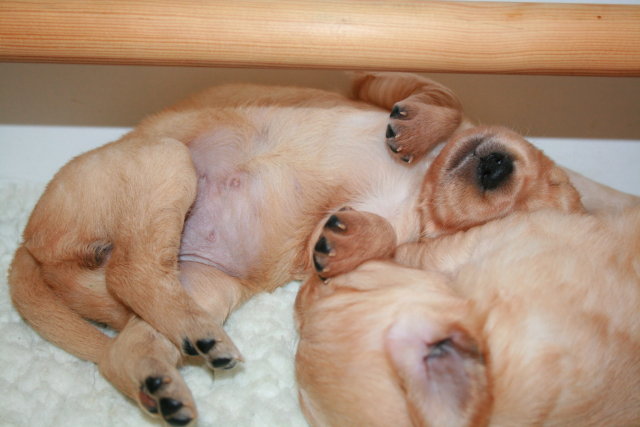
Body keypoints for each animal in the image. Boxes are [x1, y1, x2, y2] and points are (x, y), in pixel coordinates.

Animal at [8, 72, 473, 425]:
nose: (489, 171)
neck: (423, 185)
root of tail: (26, 247)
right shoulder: (378, 82)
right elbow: (448, 99)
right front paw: (415, 130)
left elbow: (381, 233)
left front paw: (350, 241)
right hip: (168, 160)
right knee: (129, 271)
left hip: (203, 283)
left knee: (125, 342)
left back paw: (172, 381)